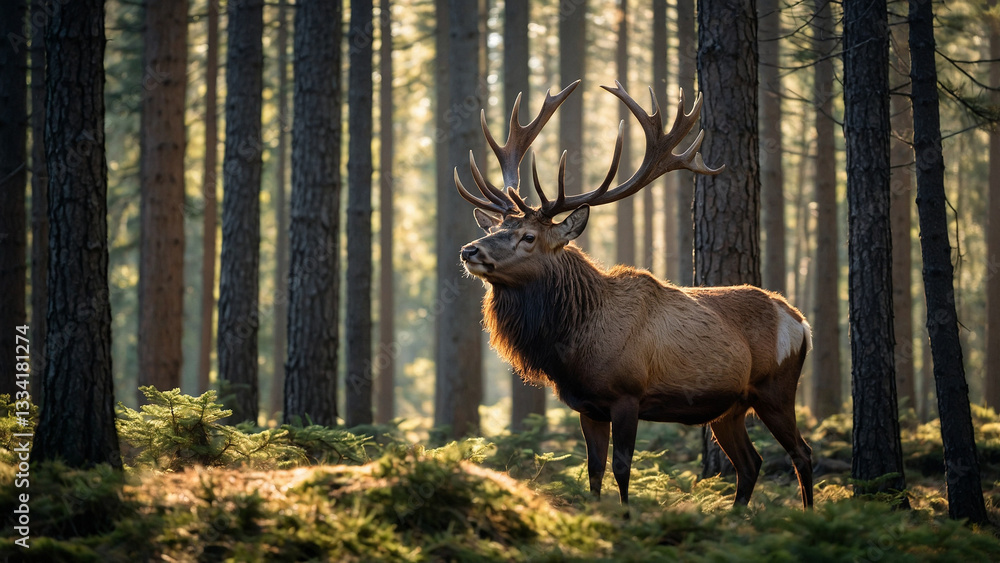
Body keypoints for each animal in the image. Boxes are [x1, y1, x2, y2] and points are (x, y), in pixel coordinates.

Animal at [455, 80, 814, 511]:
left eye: (528, 237)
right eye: (495, 228)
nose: (470, 250)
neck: (573, 343)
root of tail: (801, 322)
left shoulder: (628, 395)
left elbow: (622, 469)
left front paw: (626, 515)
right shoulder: (588, 406)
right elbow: (593, 470)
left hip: (776, 388)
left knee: (801, 453)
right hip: (730, 407)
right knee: (751, 463)